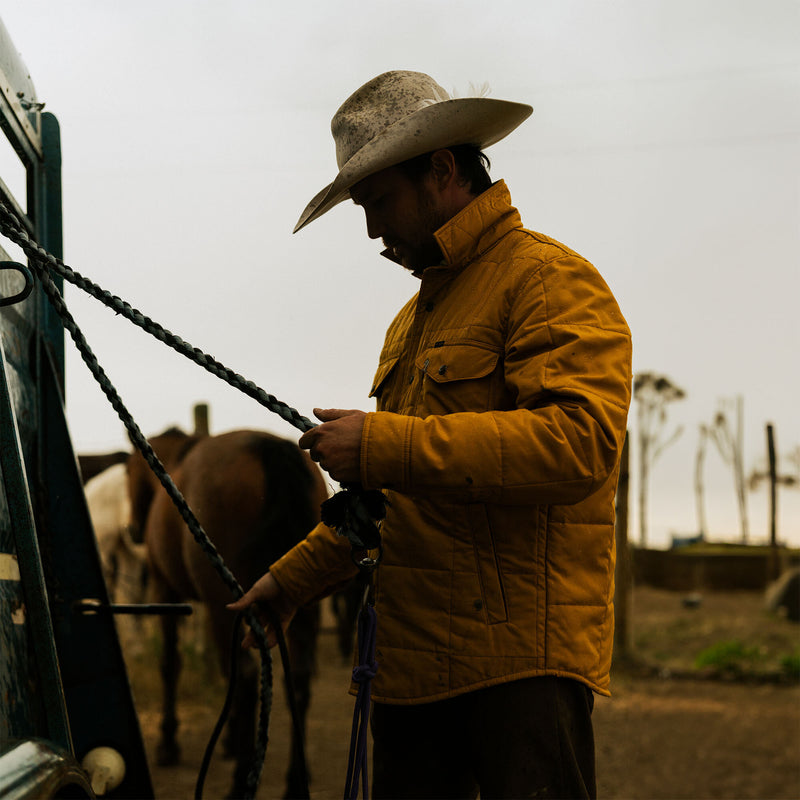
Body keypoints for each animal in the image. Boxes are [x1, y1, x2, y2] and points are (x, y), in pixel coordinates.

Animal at [127, 432, 324, 800]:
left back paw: (239, 783)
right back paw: (295, 780)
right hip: (300, 598)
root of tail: (266, 446)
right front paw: (232, 738)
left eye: (128, 471)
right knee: (300, 679)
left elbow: (171, 663)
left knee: (246, 678)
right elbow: (222, 665)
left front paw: (168, 742)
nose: (132, 529)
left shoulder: (166, 590)